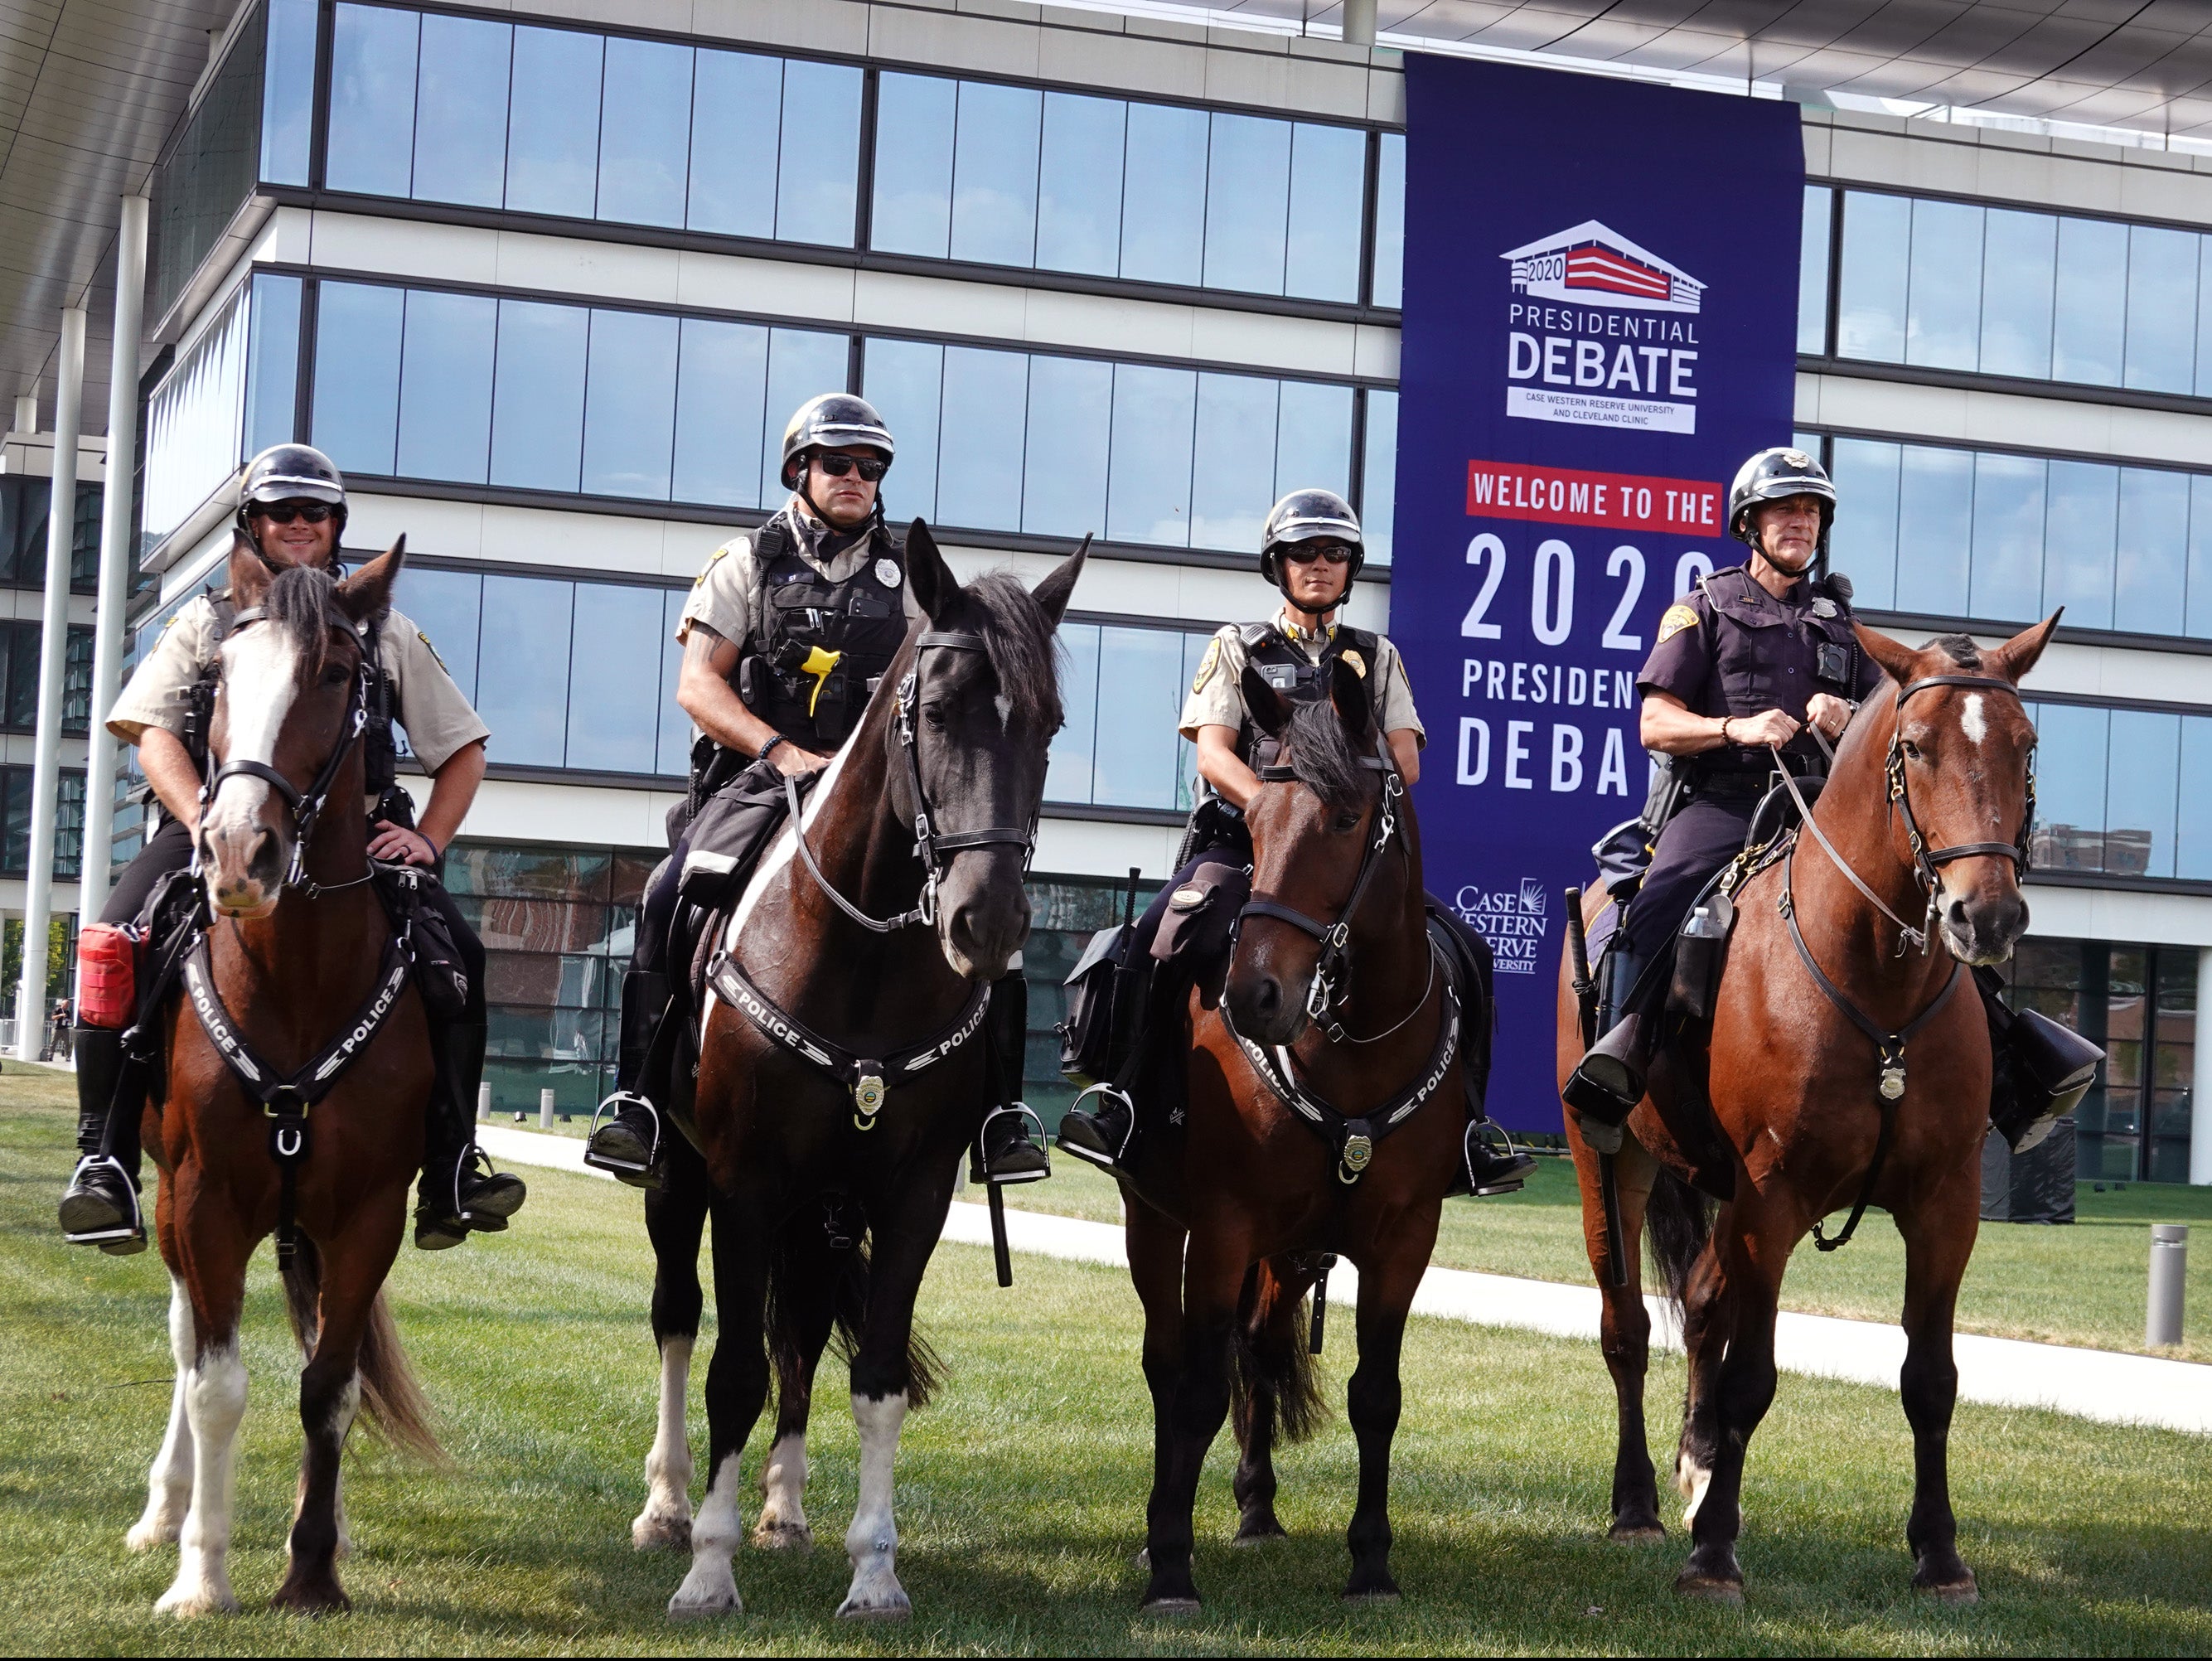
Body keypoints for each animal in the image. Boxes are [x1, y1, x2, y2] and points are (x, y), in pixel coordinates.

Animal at [126, 540, 440, 1619]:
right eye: (218, 677)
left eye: (341, 675)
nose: (236, 851)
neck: (296, 980)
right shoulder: (205, 1201)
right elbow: (216, 1385)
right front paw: (200, 1576)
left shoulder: (367, 1213)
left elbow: (328, 1386)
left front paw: (312, 1568)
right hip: (169, 1204)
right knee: (184, 1346)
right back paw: (164, 1511)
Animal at [632, 526, 1088, 1619]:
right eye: (936, 712)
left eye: (1047, 724)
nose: (986, 922)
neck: (862, 958)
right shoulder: (744, 1185)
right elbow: (729, 1372)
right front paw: (708, 1570)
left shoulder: (908, 1191)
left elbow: (871, 1374)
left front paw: (873, 1569)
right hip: (680, 1179)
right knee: (678, 1322)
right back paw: (667, 1506)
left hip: (820, 1207)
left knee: (799, 1332)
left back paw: (787, 1511)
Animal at [1123, 659, 1486, 1610]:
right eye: (1252, 817)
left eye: (1347, 819)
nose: (1254, 996)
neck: (1351, 1047)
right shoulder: (1219, 1226)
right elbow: (1196, 1388)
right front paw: (1169, 1564)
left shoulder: (1405, 1238)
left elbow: (1375, 1395)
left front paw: (1371, 1562)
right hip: (1156, 1220)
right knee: (1167, 1361)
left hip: (1290, 1252)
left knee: (1257, 1346)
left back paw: (1256, 1507)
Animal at [1556, 619, 2052, 1600]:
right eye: (1914, 747)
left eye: (2023, 746)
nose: (1984, 917)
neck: (1874, 983)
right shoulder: (1772, 1198)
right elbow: (1751, 1377)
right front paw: (1713, 1556)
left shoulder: (1944, 1207)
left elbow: (1930, 1380)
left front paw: (1939, 1555)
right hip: (1611, 1160)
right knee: (1627, 1328)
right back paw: (1637, 1505)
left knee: (1701, 1302)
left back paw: (1697, 1460)